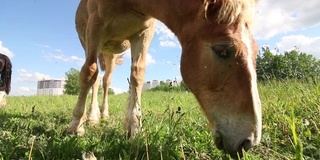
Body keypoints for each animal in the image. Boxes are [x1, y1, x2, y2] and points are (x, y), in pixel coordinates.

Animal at [66, 0, 262, 158]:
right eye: (222, 50)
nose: (248, 141)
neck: (129, 3)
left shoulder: (144, 33)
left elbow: (137, 74)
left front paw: (135, 127)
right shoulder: (95, 29)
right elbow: (88, 73)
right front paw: (75, 126)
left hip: (110, 53)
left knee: (106, 81)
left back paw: (103, 114)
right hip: (96, 46)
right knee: (95, 79)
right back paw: (91, 118)